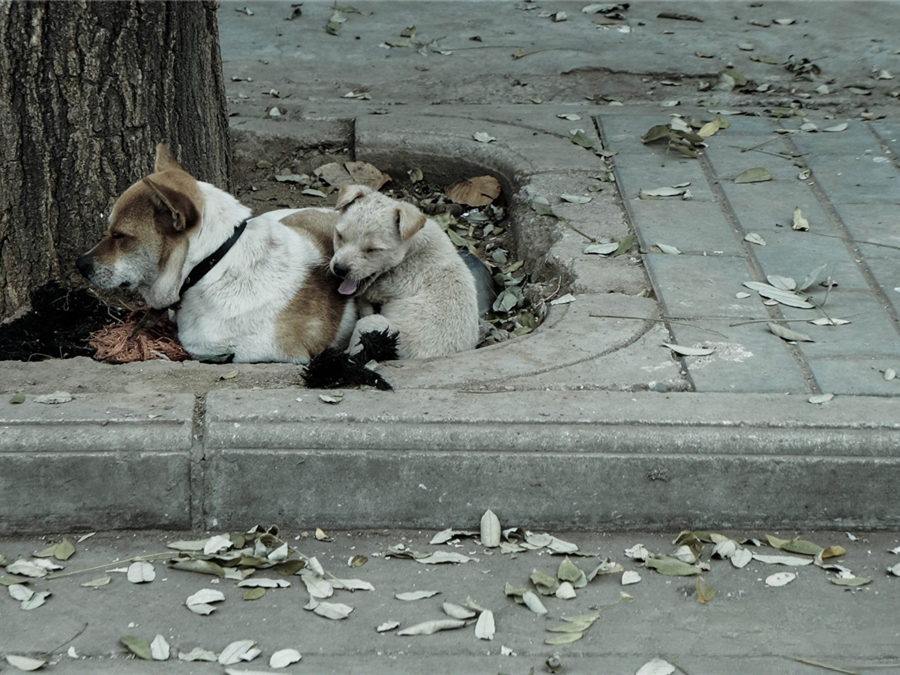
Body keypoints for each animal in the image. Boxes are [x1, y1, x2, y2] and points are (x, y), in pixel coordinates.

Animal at [330, 185, 482, 360]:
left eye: (373, 250)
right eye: (340, 236)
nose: (339, 269)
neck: (411, 248)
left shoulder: (395, 283)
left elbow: (369, 292)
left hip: (371, 326)